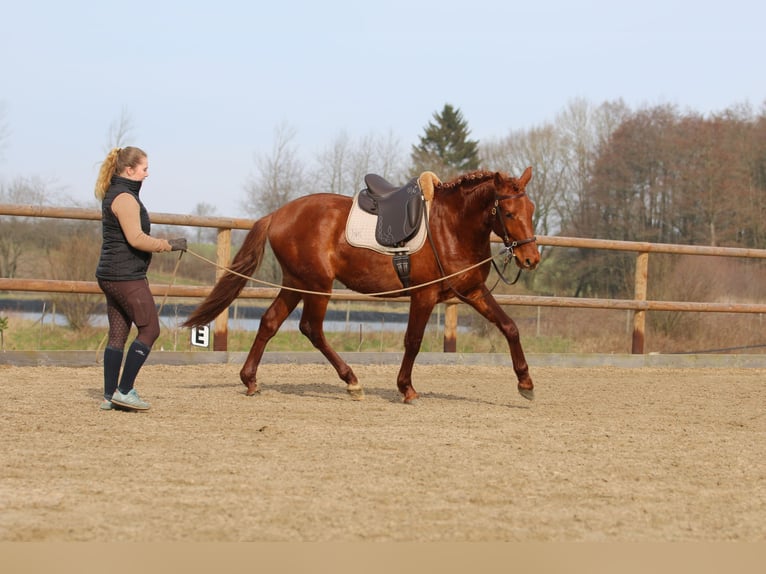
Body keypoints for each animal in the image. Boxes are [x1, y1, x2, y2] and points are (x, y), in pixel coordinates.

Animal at [184, 168, 540, 404]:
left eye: (531, 210)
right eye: (509, 213)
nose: (531, 258)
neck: (450, 226)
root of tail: (278, 214)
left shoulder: (473, 292)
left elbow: (509, 327)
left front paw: (525, 383)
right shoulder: (423, 296)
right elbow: (413, 341)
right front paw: (406, 388)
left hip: (297, 283)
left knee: (270, 322)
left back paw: (250, 380)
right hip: (317, 285)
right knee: (311, 328)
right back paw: (352, 381)